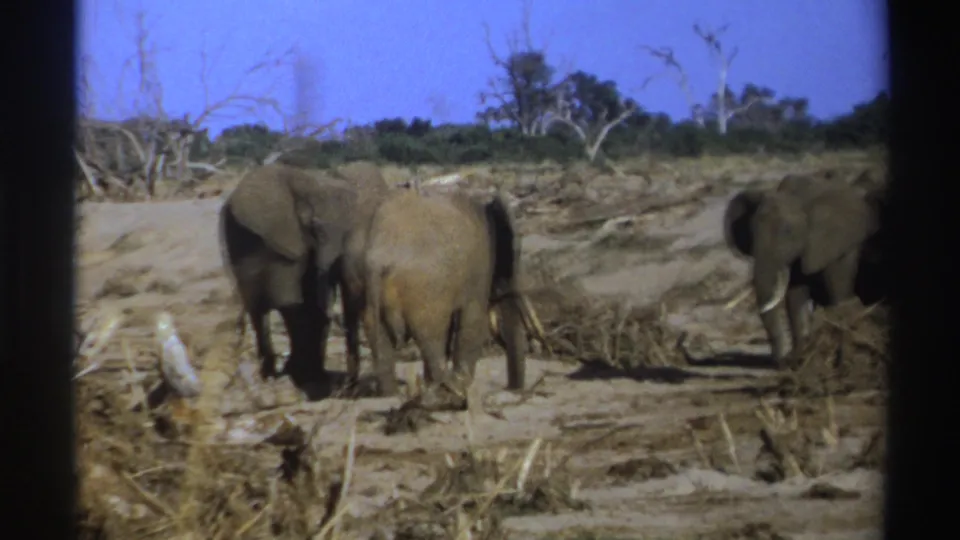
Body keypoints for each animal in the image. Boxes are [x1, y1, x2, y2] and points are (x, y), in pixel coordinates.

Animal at [218, 163, 387, 393]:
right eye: (319, 231)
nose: (349, 385)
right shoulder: (286, 245)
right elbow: (300, 304)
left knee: (260, 309)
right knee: (277, 307)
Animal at [340, 189, 535, 397]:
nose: (513, 389)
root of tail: (376, 255)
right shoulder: (478, 270)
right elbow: (473, 321)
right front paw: (462, 384)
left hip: (357, 275)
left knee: (378, 334)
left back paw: (394, 394)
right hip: (425, 287)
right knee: (431, 336)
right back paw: (448, 388)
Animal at [723, 173, 885, 365]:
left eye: (787, 232)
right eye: (752, 231)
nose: (780, 361)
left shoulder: (842, 246)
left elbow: (839, 295)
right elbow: (795, 296)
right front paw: (798, 358)